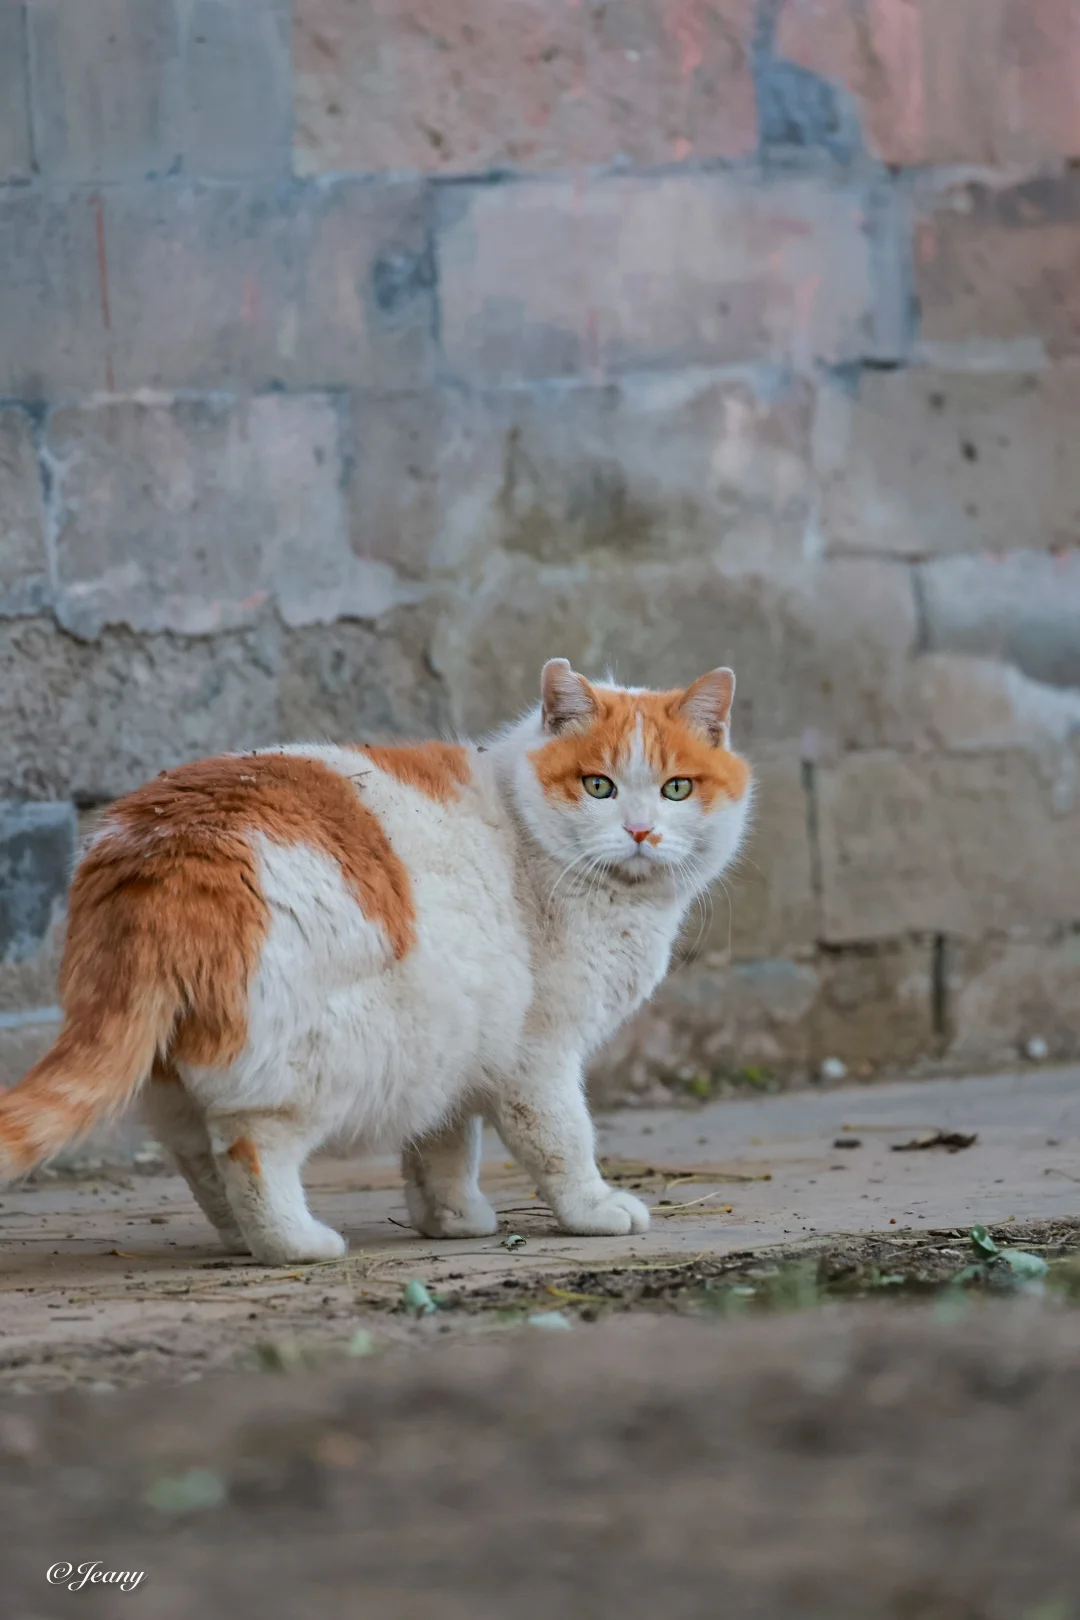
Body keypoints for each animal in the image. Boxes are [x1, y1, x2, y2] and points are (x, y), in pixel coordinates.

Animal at [0, 660, 757, 1263]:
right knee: (249, 1150)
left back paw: (243, 1239)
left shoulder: (459, 1039)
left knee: (199, 1160)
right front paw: (593, 1211)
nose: (641, 831)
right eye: (599, 787)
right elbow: (563, 1141)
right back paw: (295, 1245)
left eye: (678, 789)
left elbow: (443, 1149)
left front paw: (451, 1221)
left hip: (184, 1075)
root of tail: (160, 846)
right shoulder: (538, 1055)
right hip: (310, 1064)